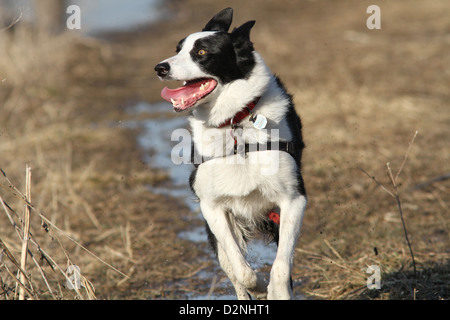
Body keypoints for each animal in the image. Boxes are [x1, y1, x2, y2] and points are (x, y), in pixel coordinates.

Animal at [155, 7, 306, 300]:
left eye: (201, 52)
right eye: (178, 49)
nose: (160, 68)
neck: (235, 123)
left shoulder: (293, 200)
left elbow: (281, 268)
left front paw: (274, 289)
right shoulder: (212, 207)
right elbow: (242, 271)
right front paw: (258, 285)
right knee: (232, 269)